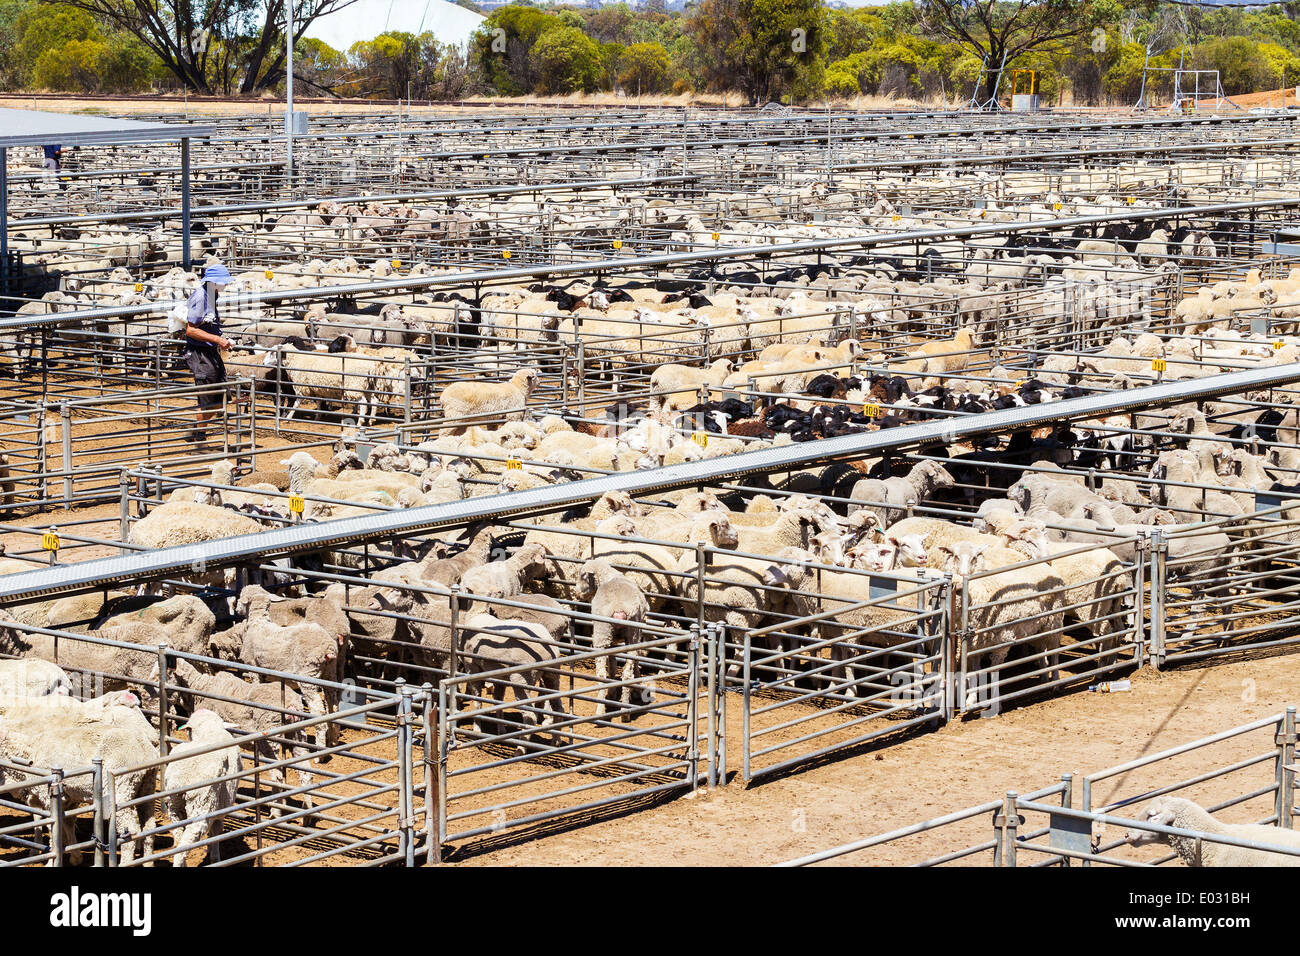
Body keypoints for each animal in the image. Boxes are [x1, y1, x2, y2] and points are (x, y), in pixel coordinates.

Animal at [162, 709, 243, 867]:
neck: (210, 731)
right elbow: (215, 833)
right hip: (201, 804)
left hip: (173, 805)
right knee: (187, 841)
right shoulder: (221, 808)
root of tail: (184, 779)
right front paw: (214, 856)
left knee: (179, 836)